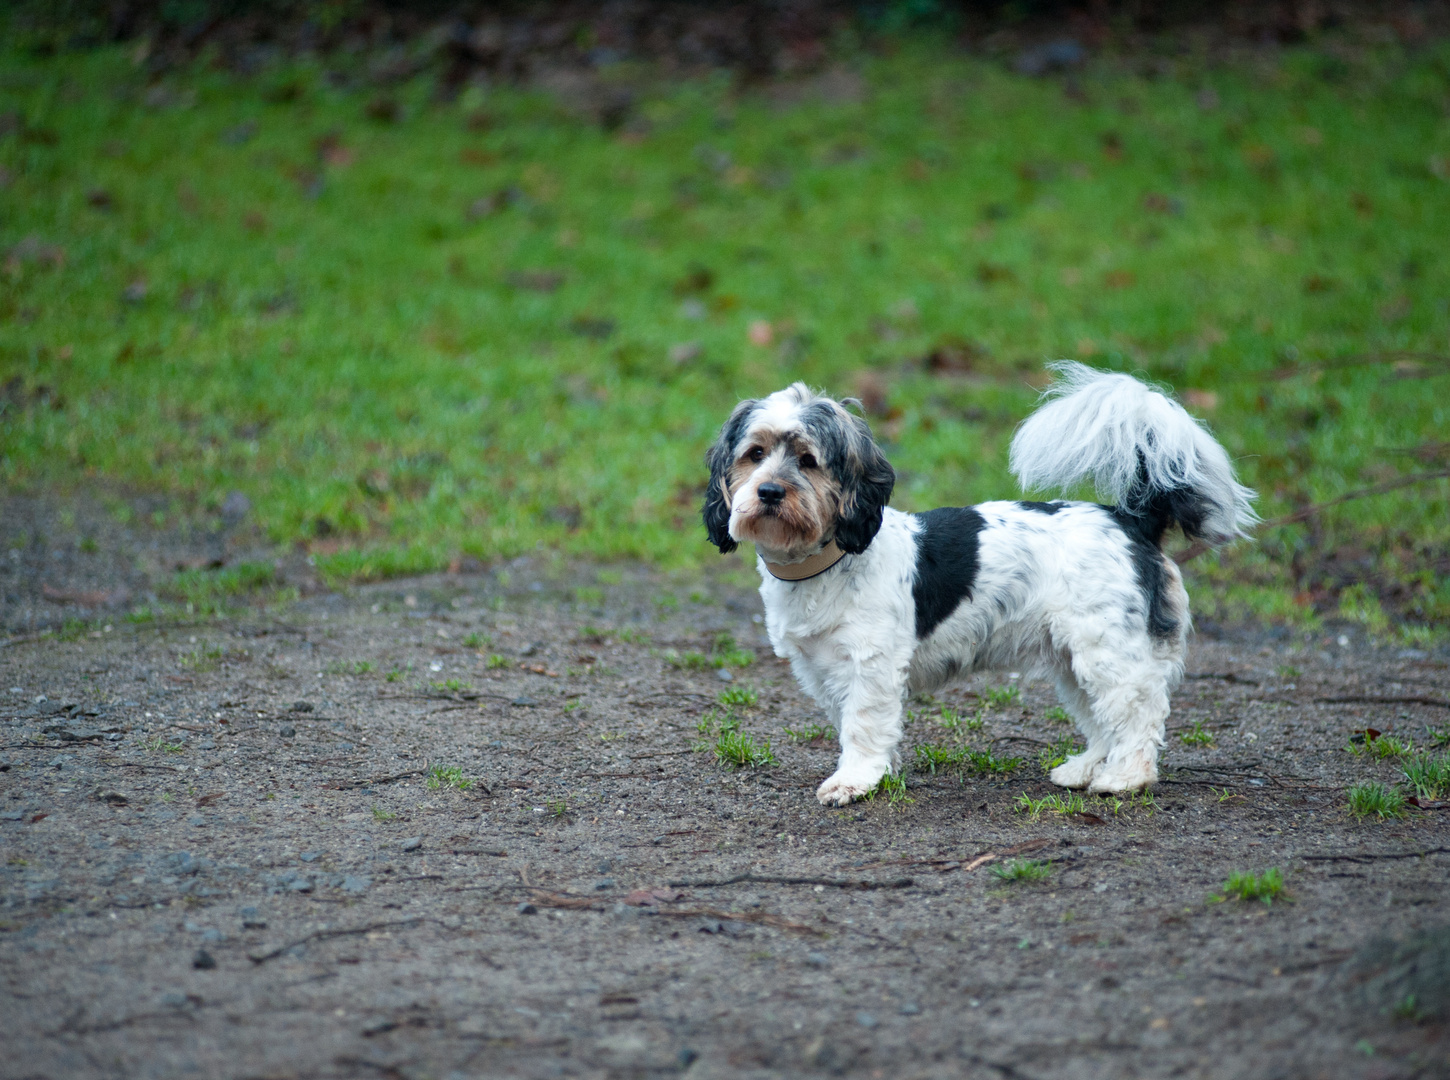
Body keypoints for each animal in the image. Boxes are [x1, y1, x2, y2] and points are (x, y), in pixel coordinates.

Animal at [701, 366, 1258, 806]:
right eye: (754, 454)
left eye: (808, 460)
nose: (769, 491)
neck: (826, 563)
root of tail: (1133, 520)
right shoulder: (819, 670)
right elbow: (855, 724)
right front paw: (880, 772)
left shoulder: (871, 666)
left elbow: (862, 724)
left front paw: (853, 781)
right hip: (1071, 658)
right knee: (1104, 718)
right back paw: (1085, 768)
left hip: (1109, 650)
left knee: (1138, 714)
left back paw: (1124, 779)